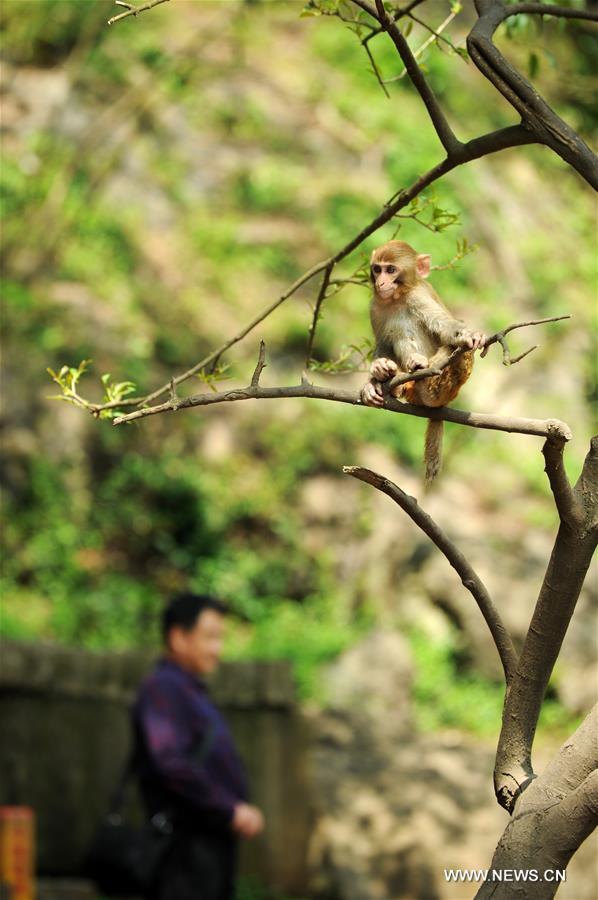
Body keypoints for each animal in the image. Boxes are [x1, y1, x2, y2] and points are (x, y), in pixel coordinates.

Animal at [360, 236, 488, 482]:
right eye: (377, 269)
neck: (398, 299)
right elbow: (383, 344)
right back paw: (394, 382)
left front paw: (469, 335)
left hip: (446, 388)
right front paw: (377, 372)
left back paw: (421, 371)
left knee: (456, 351)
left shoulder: (419, 298)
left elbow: (446, 328)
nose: (381, 283)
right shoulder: (374, 307)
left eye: (391, 270)